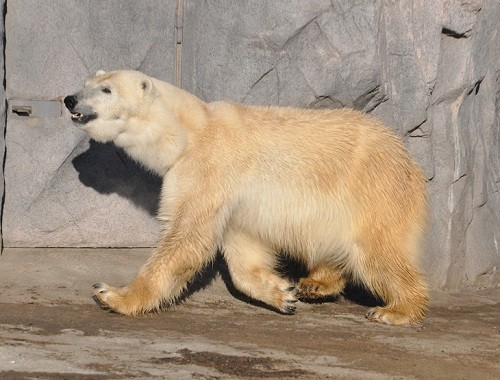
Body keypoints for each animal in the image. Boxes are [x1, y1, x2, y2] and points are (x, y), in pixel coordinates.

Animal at [64, 69, 428, 324]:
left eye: (107, 89)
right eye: (86, 83)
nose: (69, 99)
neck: (189, 130)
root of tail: (409, 160)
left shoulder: (205, 169)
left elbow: (186, 235)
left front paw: (113, 295)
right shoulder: (235, 200)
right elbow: (242, 246)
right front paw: (282, 293)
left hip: (374, 189)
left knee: (377, 250)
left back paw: (396, 309)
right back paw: (315, 283)